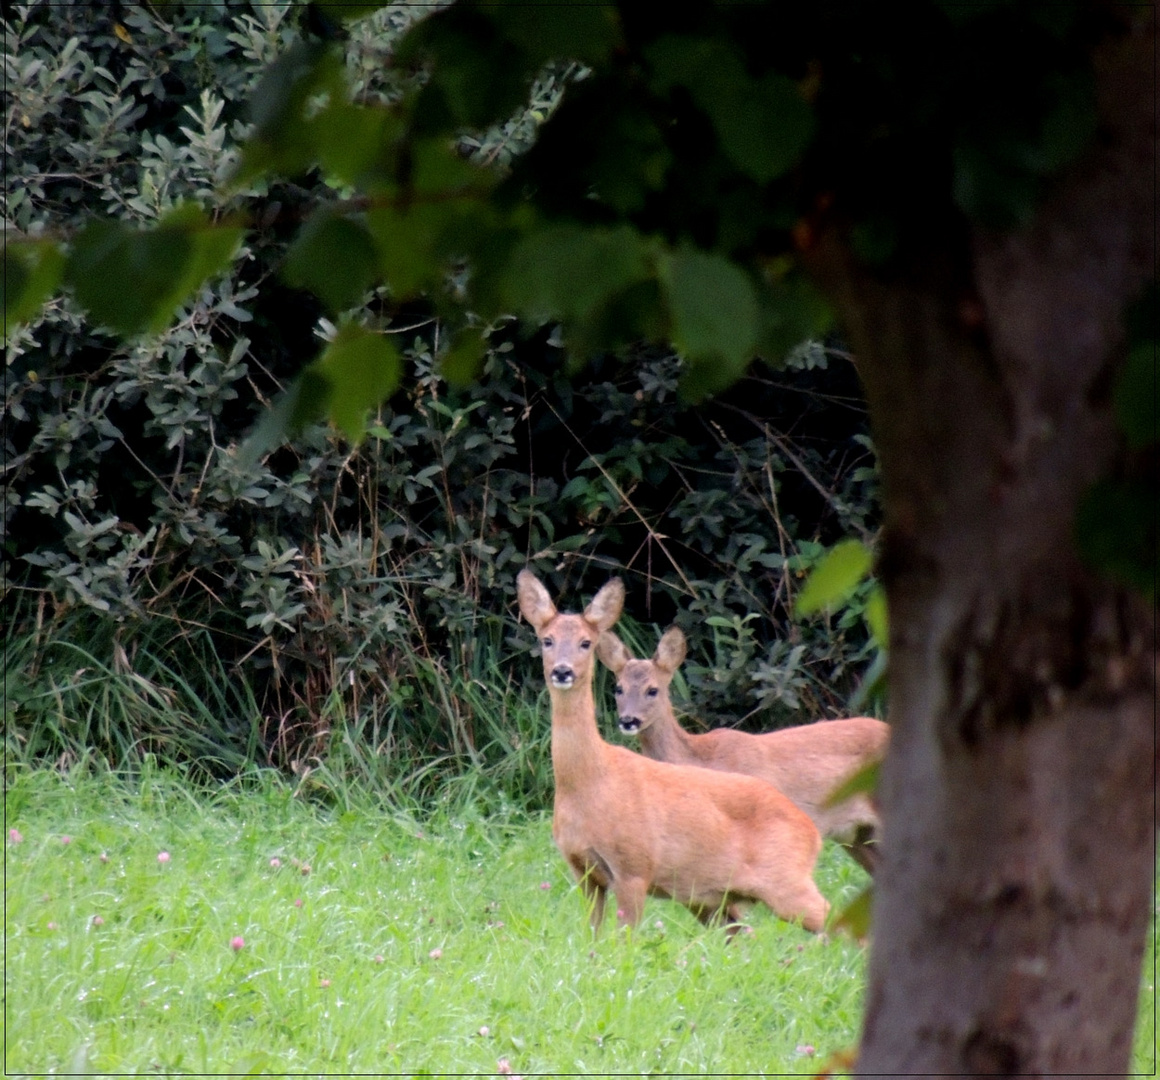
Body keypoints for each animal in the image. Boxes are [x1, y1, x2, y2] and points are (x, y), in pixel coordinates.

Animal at [512, 575, 830, 937]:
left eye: (585, 643)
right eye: (547, 640)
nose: (563, 671)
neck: (590, 782)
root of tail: (812, 832)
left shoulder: (634, 867)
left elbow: (626, 940)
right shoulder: (584, 870)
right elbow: (592, 935)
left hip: (785, 879)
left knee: (830, 914)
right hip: (712, 901)